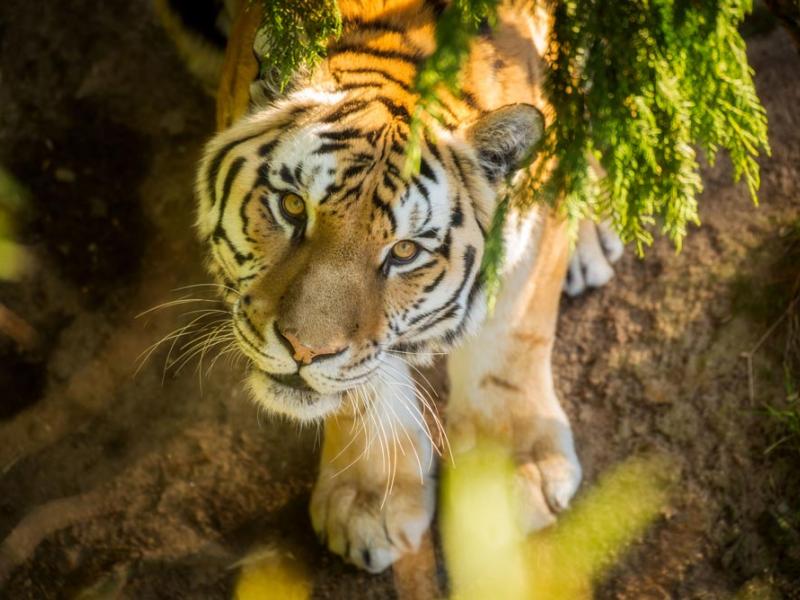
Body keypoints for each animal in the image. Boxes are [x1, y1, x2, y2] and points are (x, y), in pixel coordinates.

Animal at [183, 0, 624, 576]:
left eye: (405, 251)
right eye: (293, 207)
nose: (303, 351)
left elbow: (510, 337)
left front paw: (510, 473)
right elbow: (360, 385)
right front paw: (368, 501)